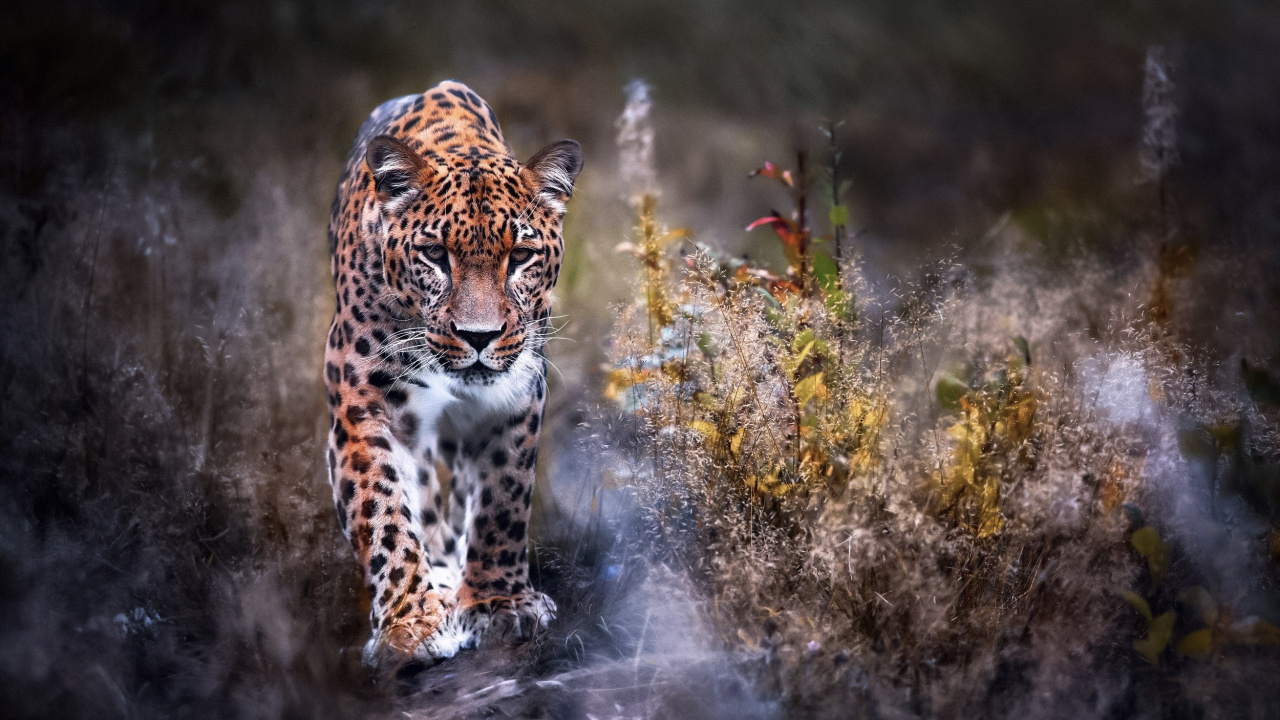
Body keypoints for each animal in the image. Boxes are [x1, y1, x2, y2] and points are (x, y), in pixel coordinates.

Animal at [322, 80, 582, 669]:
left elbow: (503, 498)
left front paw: (498, 603)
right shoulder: (361, 403)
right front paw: (410, 623)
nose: (479, 336)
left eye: (521, 256)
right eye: (435, 254)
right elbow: (383, 512)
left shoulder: (516, 396)